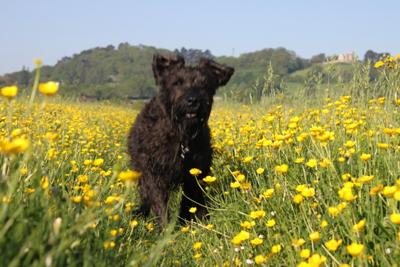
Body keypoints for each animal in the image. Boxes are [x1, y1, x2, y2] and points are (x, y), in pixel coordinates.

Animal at [128, 54, 234, 228]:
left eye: (204, 84)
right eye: (177, 82)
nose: (193, 100)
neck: (182, 136)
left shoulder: (195, 172)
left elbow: (189, 200)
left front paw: (188, 222)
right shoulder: (154, 171)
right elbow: (159, 201)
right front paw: (165, 229)